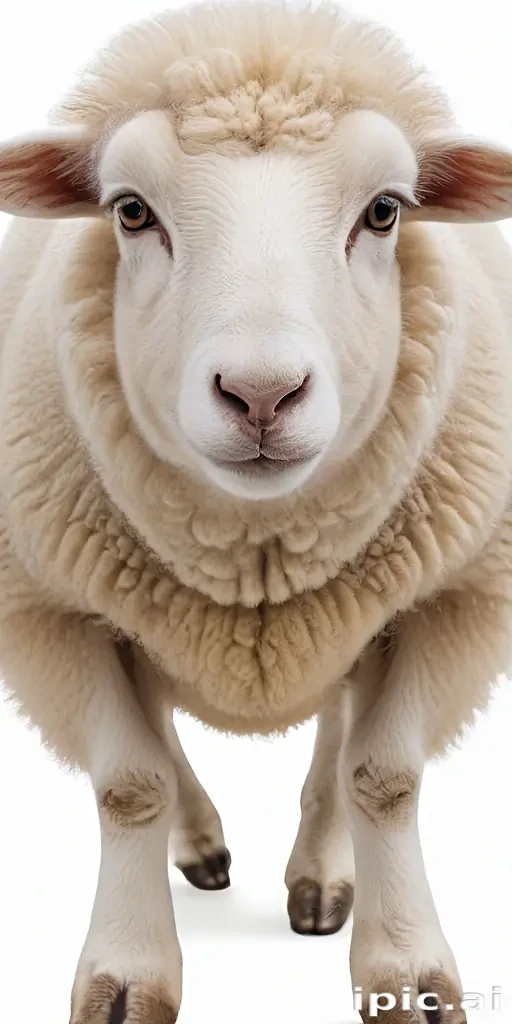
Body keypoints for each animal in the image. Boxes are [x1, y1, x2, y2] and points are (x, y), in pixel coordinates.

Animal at [0, 1, 512, 1021]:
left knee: (336, 748)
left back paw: (320, 881)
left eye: (385, 210)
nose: (262, 394)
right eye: (130, 211)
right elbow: (129, 784)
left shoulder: (456, 607)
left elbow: (383, 777)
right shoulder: (48, 619)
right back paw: (202, 846)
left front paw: (406, 971)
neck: (256, 553)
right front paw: (127, 974)